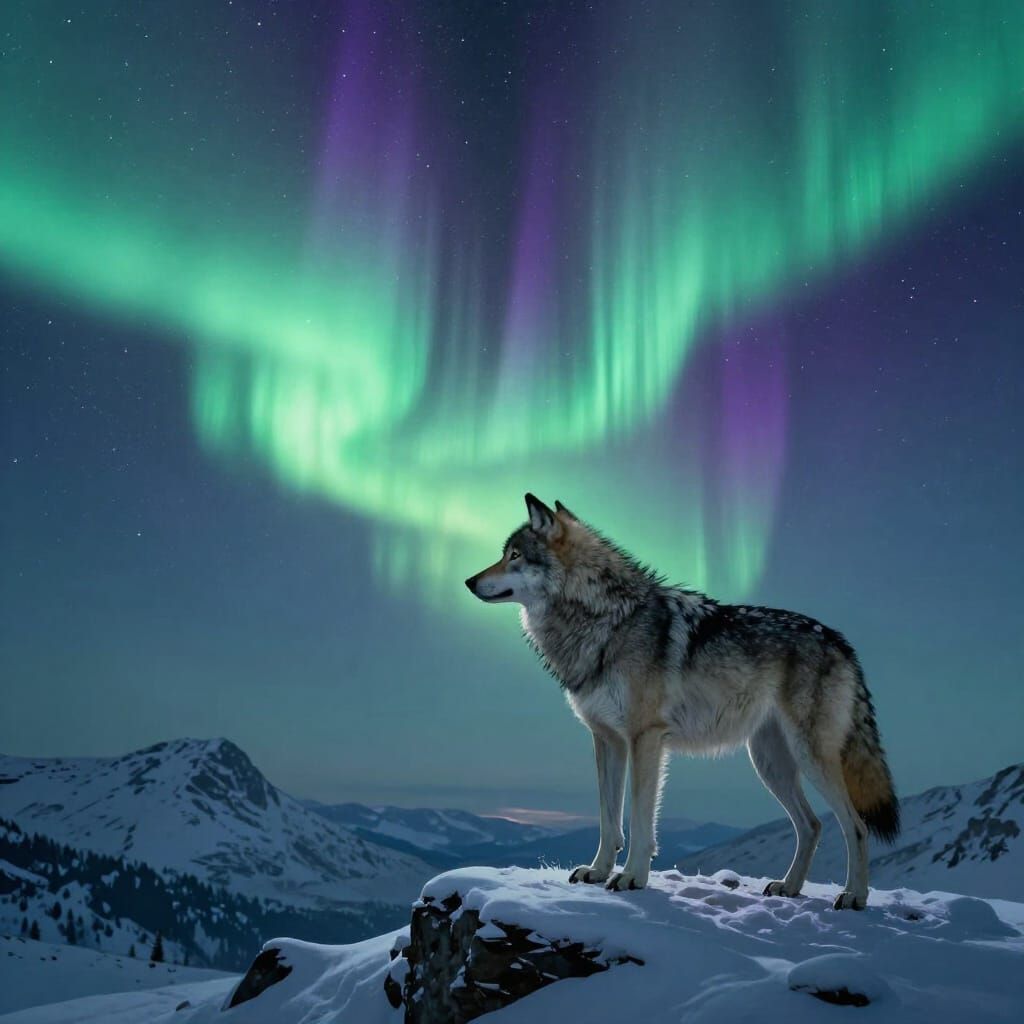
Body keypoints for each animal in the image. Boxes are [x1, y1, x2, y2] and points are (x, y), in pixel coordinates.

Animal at [466, 494, 900, 909]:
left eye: (514, 555)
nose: (469, 580)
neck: (609, 620)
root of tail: (841, 642)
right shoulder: (607, 740)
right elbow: (609, 819)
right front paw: (598, 871)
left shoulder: (645, 738)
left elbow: (639, 819)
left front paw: (631, 877)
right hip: (769, 763)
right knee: (812, 825)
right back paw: (789, 887)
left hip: (809, 758)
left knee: (855, 826)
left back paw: (854, 896)